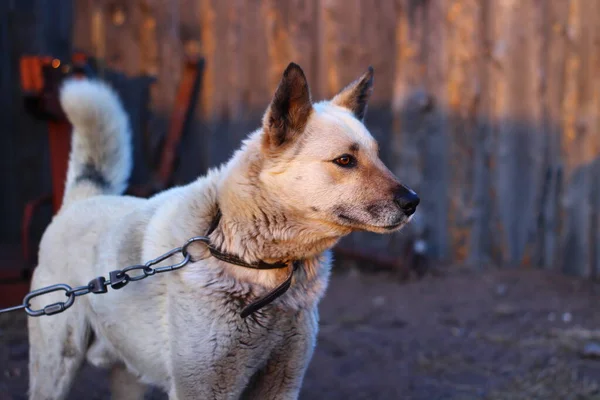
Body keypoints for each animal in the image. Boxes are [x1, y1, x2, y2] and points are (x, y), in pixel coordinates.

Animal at [28, 63, 420, 400]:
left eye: (378, 156)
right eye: (345, 161)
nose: (413, 201)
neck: (249, 258)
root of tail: (83, 196)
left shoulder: (282, 382)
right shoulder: (204, 387)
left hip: (128, 375)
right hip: (55, 368)